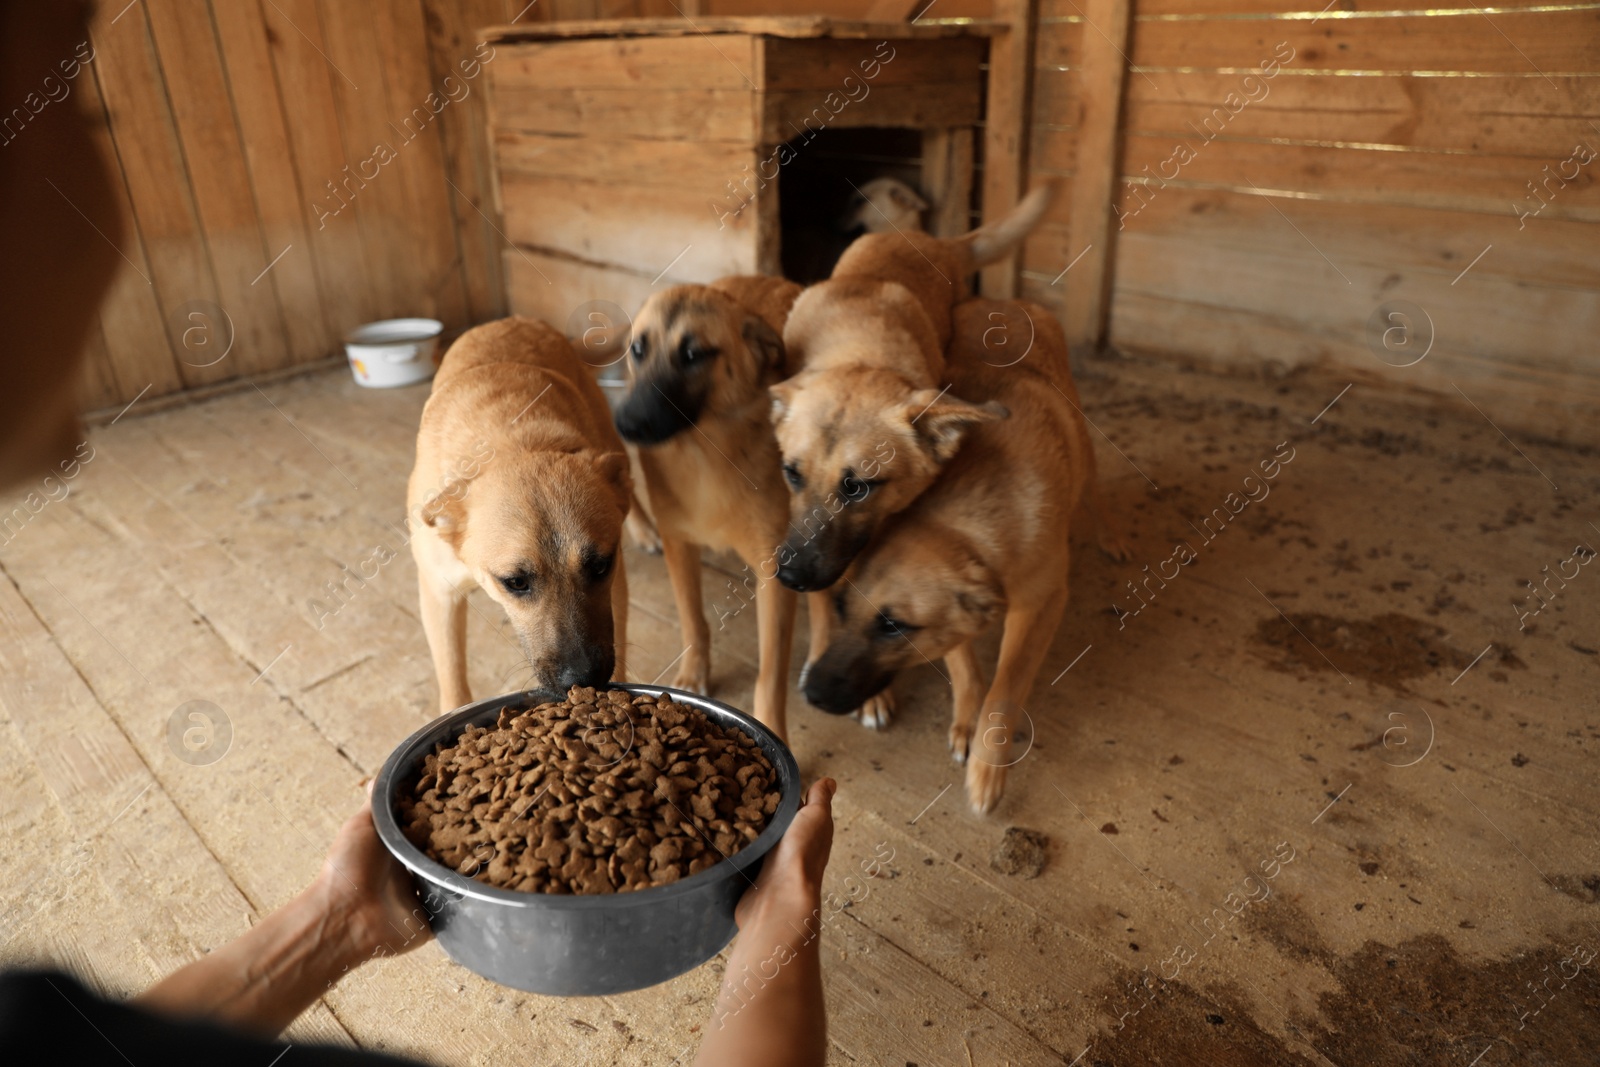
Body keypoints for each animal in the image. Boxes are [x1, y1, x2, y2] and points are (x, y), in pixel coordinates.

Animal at [409, 316, 633, 716]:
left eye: (599, 566)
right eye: (515, 582)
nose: (584, 680)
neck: (515, 443)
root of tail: (515, 319)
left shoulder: (616, 580)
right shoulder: (439, 593)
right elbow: (452, 681)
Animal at [604, 275, 819, 742]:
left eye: (693, 355)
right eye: (638, 349)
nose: (625, 423)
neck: (706, 452)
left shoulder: (774, 573)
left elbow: (770, 675)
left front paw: (773, 729)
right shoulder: (679, 546)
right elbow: (693, 621)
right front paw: (693, 675)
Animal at [800, 295, 1126, 812]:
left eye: (893, 626)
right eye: (840, 607)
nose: (809, 692)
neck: (959, 526)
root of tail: (1005, 300)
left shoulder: (1041, 607)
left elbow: (1005, 689)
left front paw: (987, 768)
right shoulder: (955, 617)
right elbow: (966, 668)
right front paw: (967, 721)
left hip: (1084, 443)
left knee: (1093, 488)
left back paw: (1110, 536)